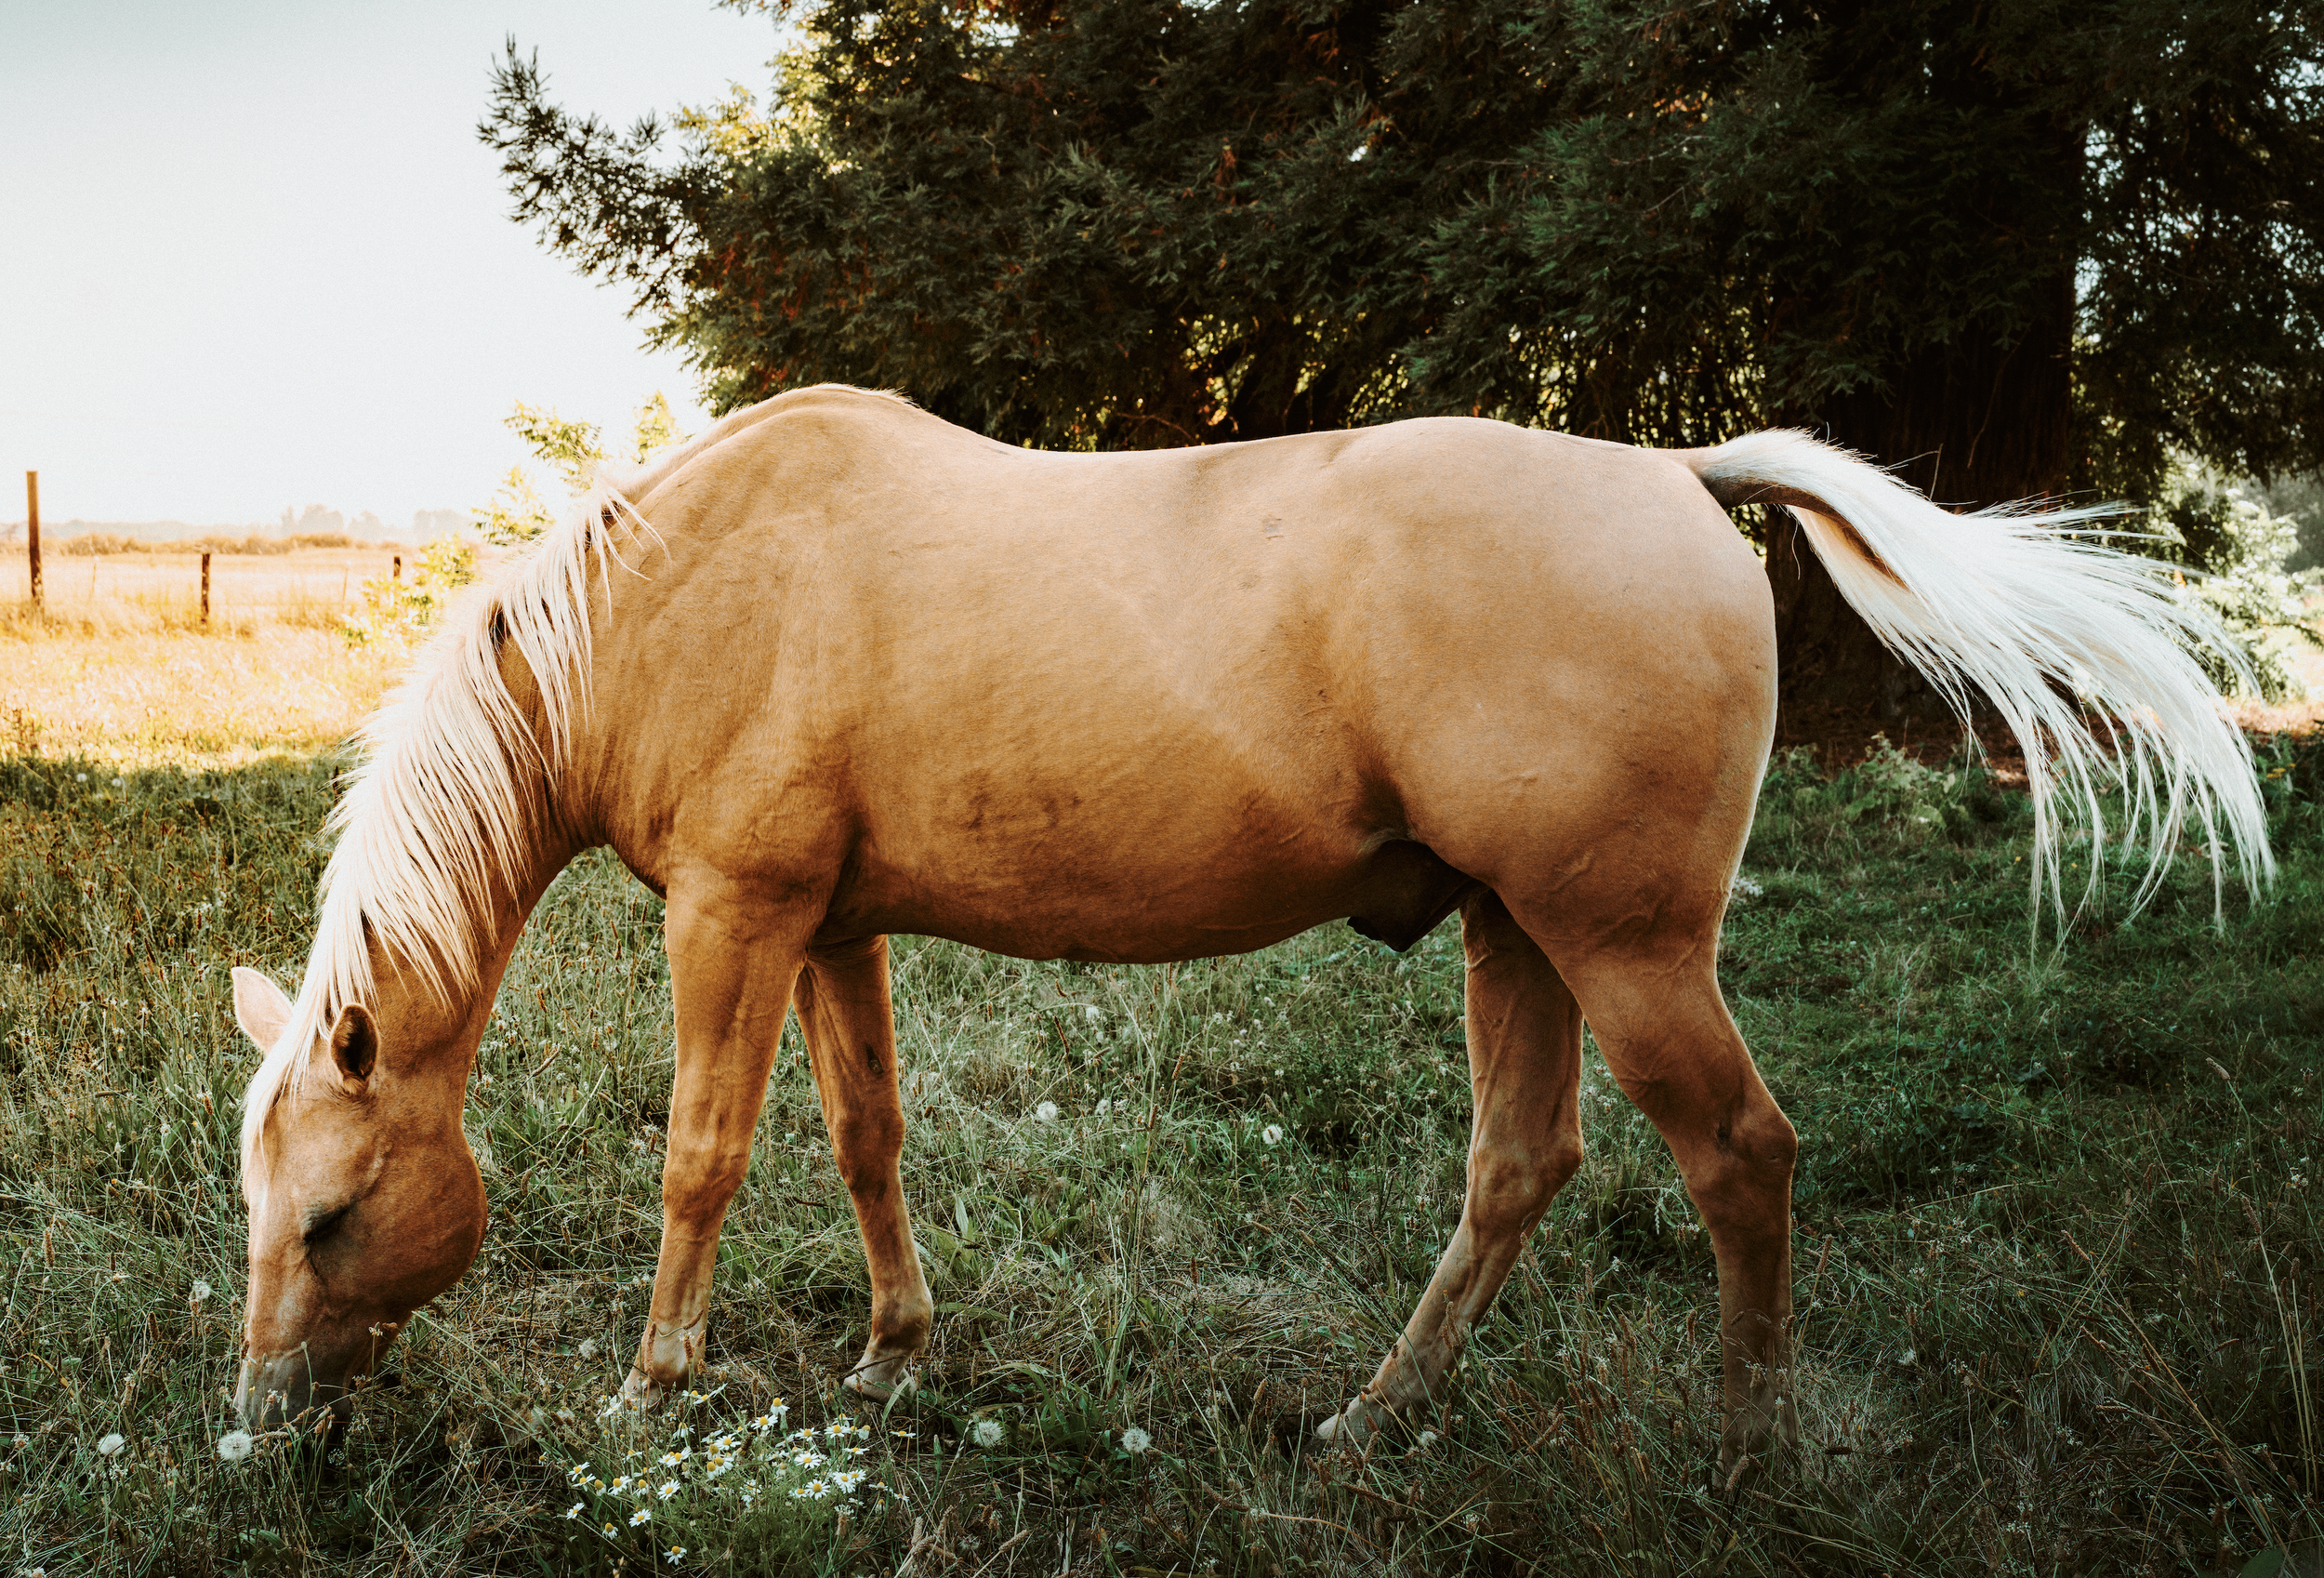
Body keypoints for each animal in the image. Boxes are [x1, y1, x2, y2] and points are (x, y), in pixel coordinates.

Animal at [228, 384, 2268, 1473]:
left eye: (327, 1216)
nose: (257, 1421)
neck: (671, 585)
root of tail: (1675, 473)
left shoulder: (736, 920)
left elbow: (704, 1154)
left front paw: (659, 1386)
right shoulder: (827, 926)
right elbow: (865, 1134)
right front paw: (897, 1350)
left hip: (1623, 949)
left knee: (1737, 1154)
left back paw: (1742, 1438)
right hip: (1516, 937)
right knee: (1520, 1162)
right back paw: (1378, 1408)